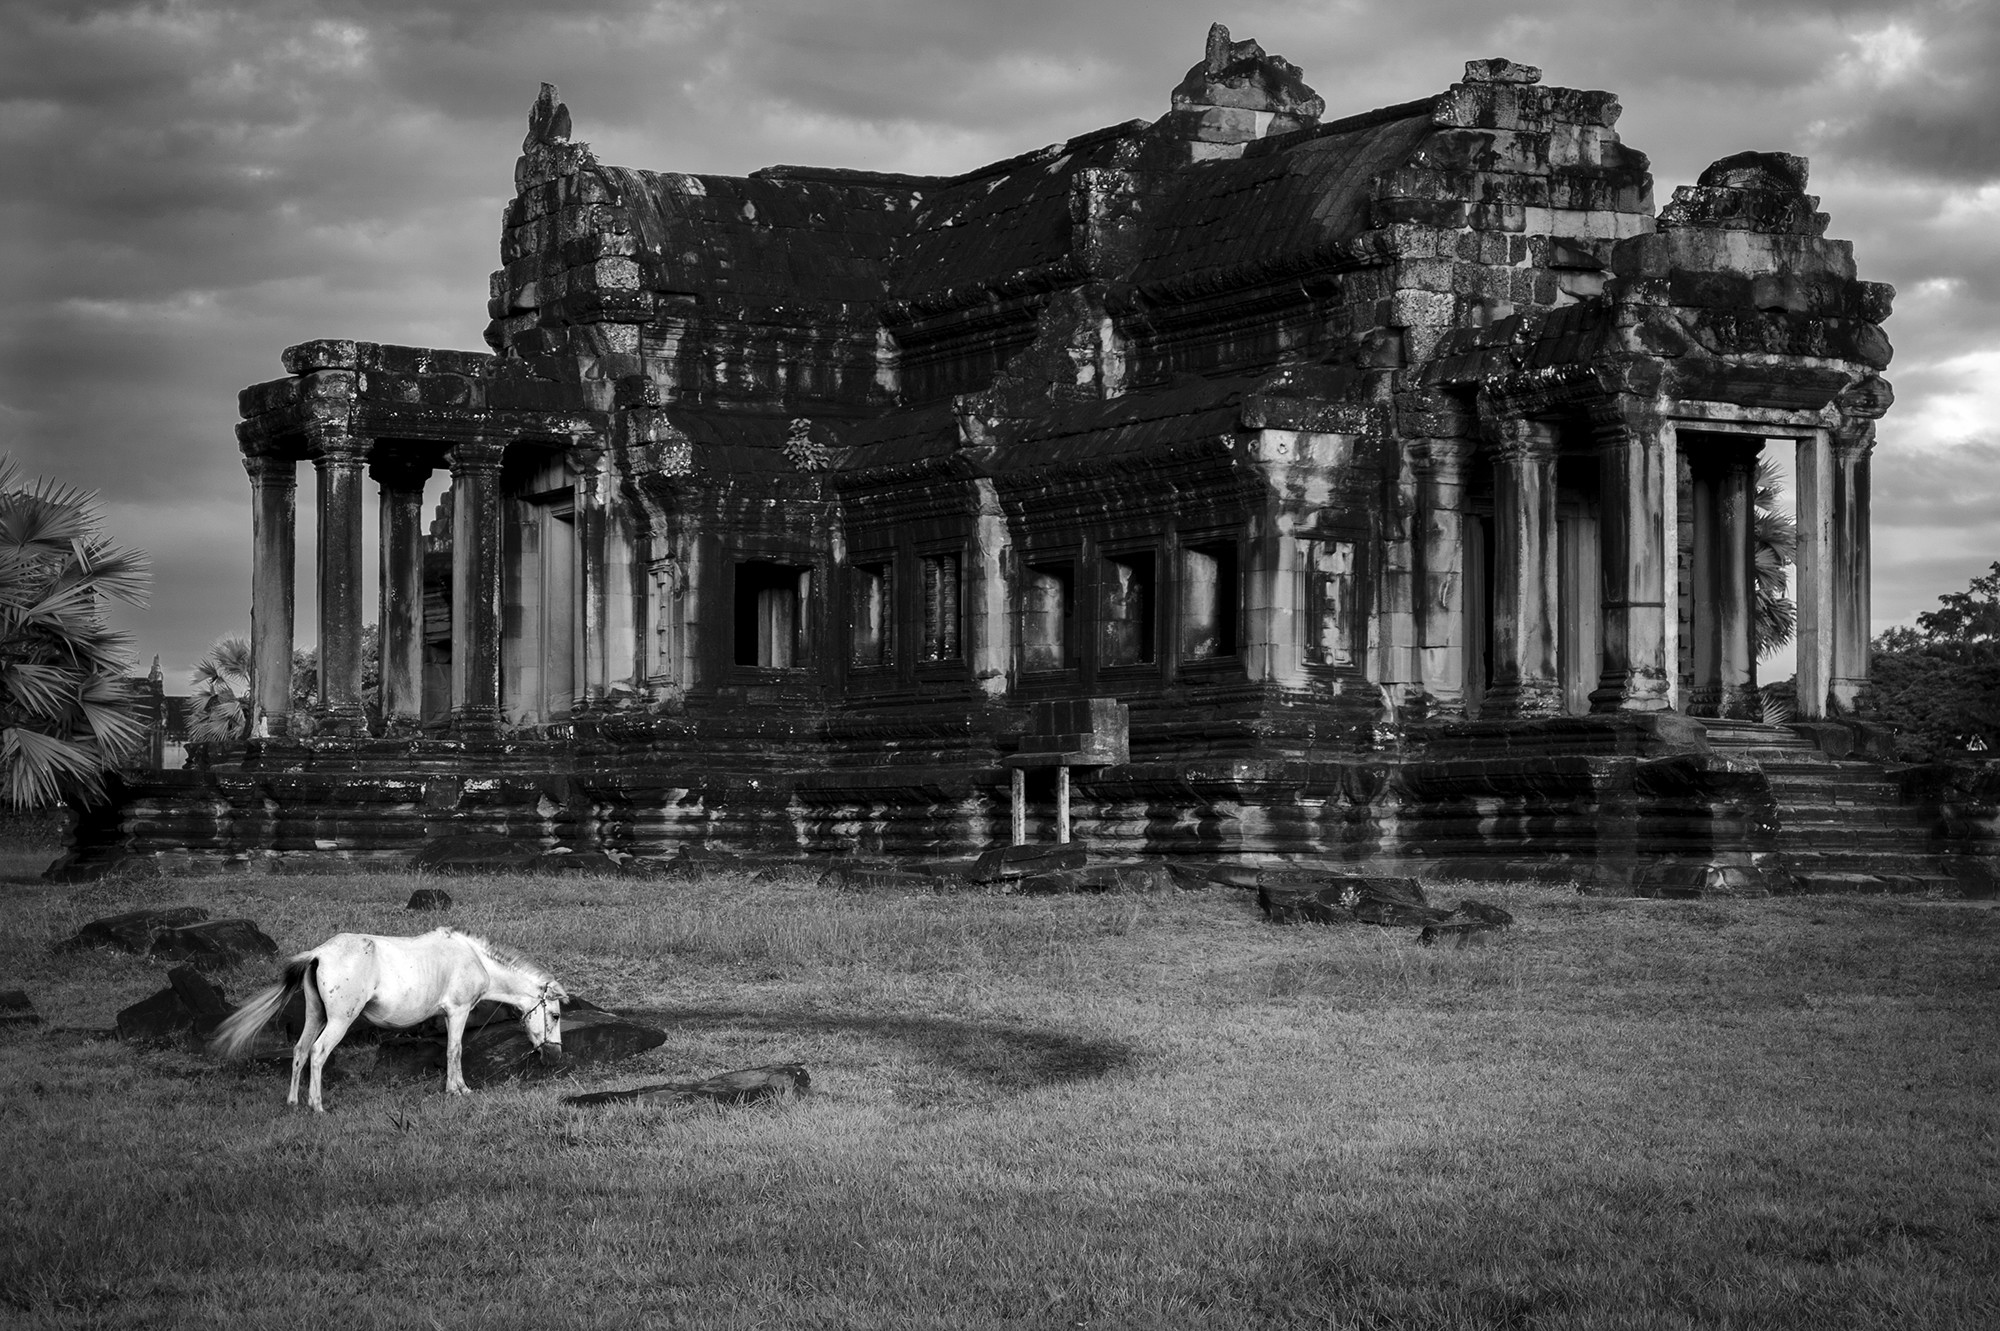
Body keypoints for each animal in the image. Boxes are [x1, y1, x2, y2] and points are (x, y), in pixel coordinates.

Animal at [213, 923, 572, 1111]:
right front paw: (458, 1090)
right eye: (554, 1015)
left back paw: (292, 1102)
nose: (555, 1056)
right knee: (317, 1052)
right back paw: (316, 1105)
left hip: (315, 1015)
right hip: (340, 1020)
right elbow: (455, 1051)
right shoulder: (457, 1011)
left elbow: (452, 1051)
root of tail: (318, 954)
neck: (475, 960)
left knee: (300, 1051)